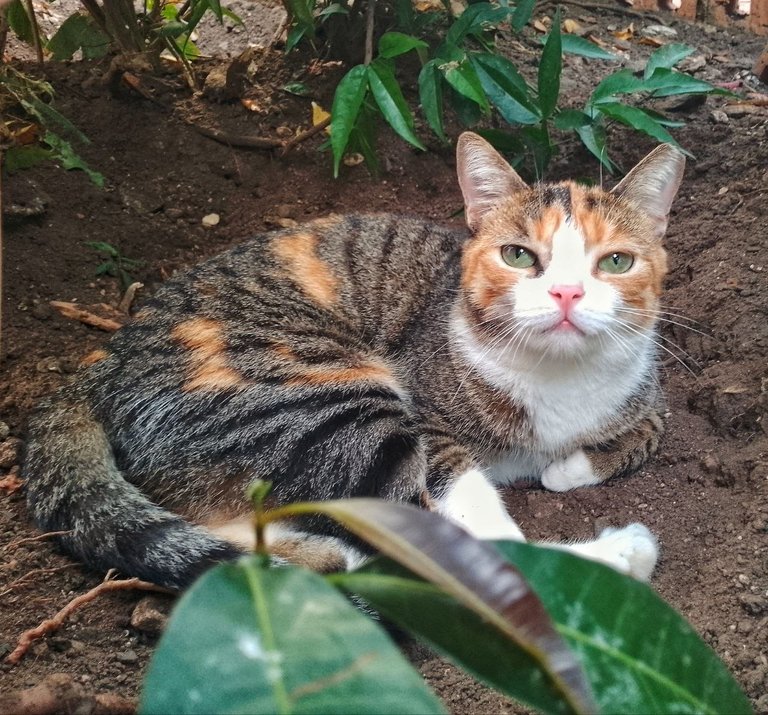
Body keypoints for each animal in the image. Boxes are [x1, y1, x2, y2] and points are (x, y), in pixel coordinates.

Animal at [22, 131, 684, 592]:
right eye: (519, 255)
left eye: (616, 262)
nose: (567, 293)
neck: (558, 380)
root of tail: (101, 363)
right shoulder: (431, 429)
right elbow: (479, 518)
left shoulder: (650, 397)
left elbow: (643, 433)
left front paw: (567, 467)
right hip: (324, 400)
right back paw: (621, 552)